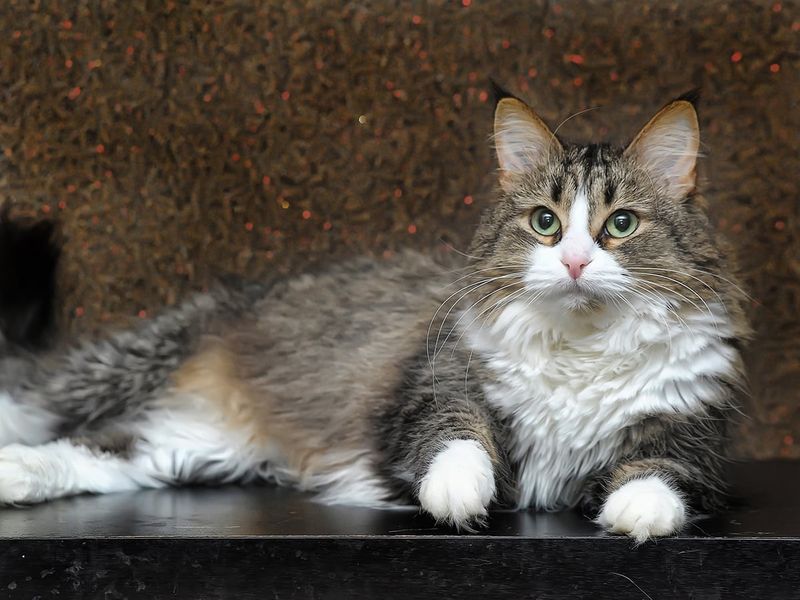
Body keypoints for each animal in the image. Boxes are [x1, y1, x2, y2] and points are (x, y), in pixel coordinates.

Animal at [0, 90, 752, 544]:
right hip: (122, 369)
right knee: (39, 406)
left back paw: (16, 476)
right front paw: (458, 496)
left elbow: (661, 474)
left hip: (191, 451)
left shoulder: (692, 432)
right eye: (545, 222)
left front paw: (636, 514)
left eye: (620, 225)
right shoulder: (432, 387)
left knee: (98, 454)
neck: (582, 345)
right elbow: (456, 440)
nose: (571, 262)